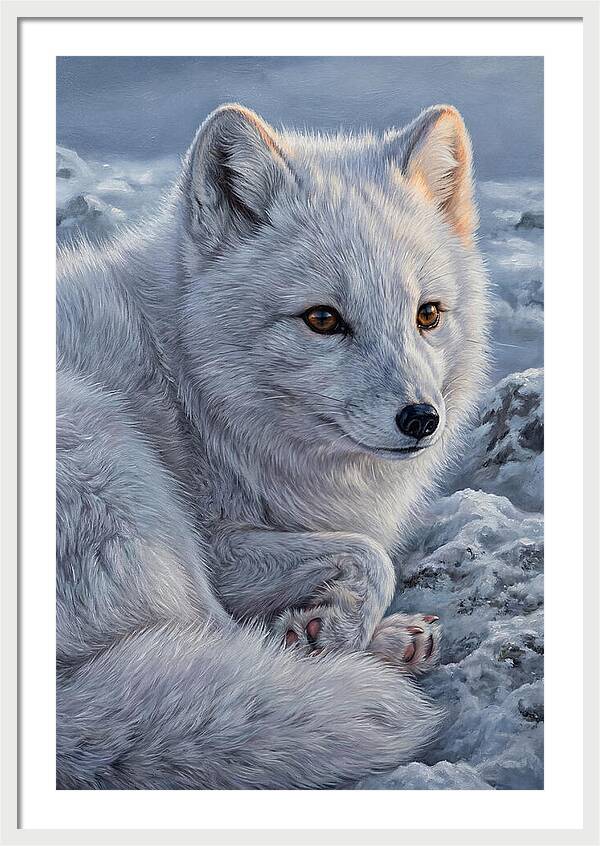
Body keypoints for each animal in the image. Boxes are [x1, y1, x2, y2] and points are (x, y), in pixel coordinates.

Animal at [56, 102, 489, 789]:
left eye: (428, 315)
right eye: (322, 319)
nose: (422, 419)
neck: (186, 383)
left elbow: (361, 554)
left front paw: (331, 625)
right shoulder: (217, 544)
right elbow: (372, 555)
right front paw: (334, 630)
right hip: (117, 468)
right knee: (216, 641)